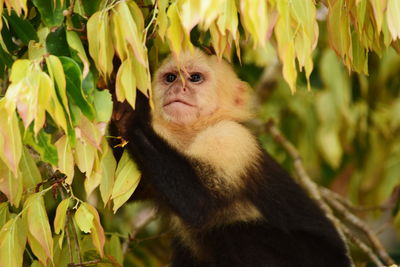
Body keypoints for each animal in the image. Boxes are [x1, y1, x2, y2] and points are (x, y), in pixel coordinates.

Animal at [109, 48, 350, 267]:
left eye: (195, 78)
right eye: (170, 77)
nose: (179, 87)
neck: (191, 134)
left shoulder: (229, 138)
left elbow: (199, 203)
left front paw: (132, 113)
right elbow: (118, 193)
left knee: (233, 234)